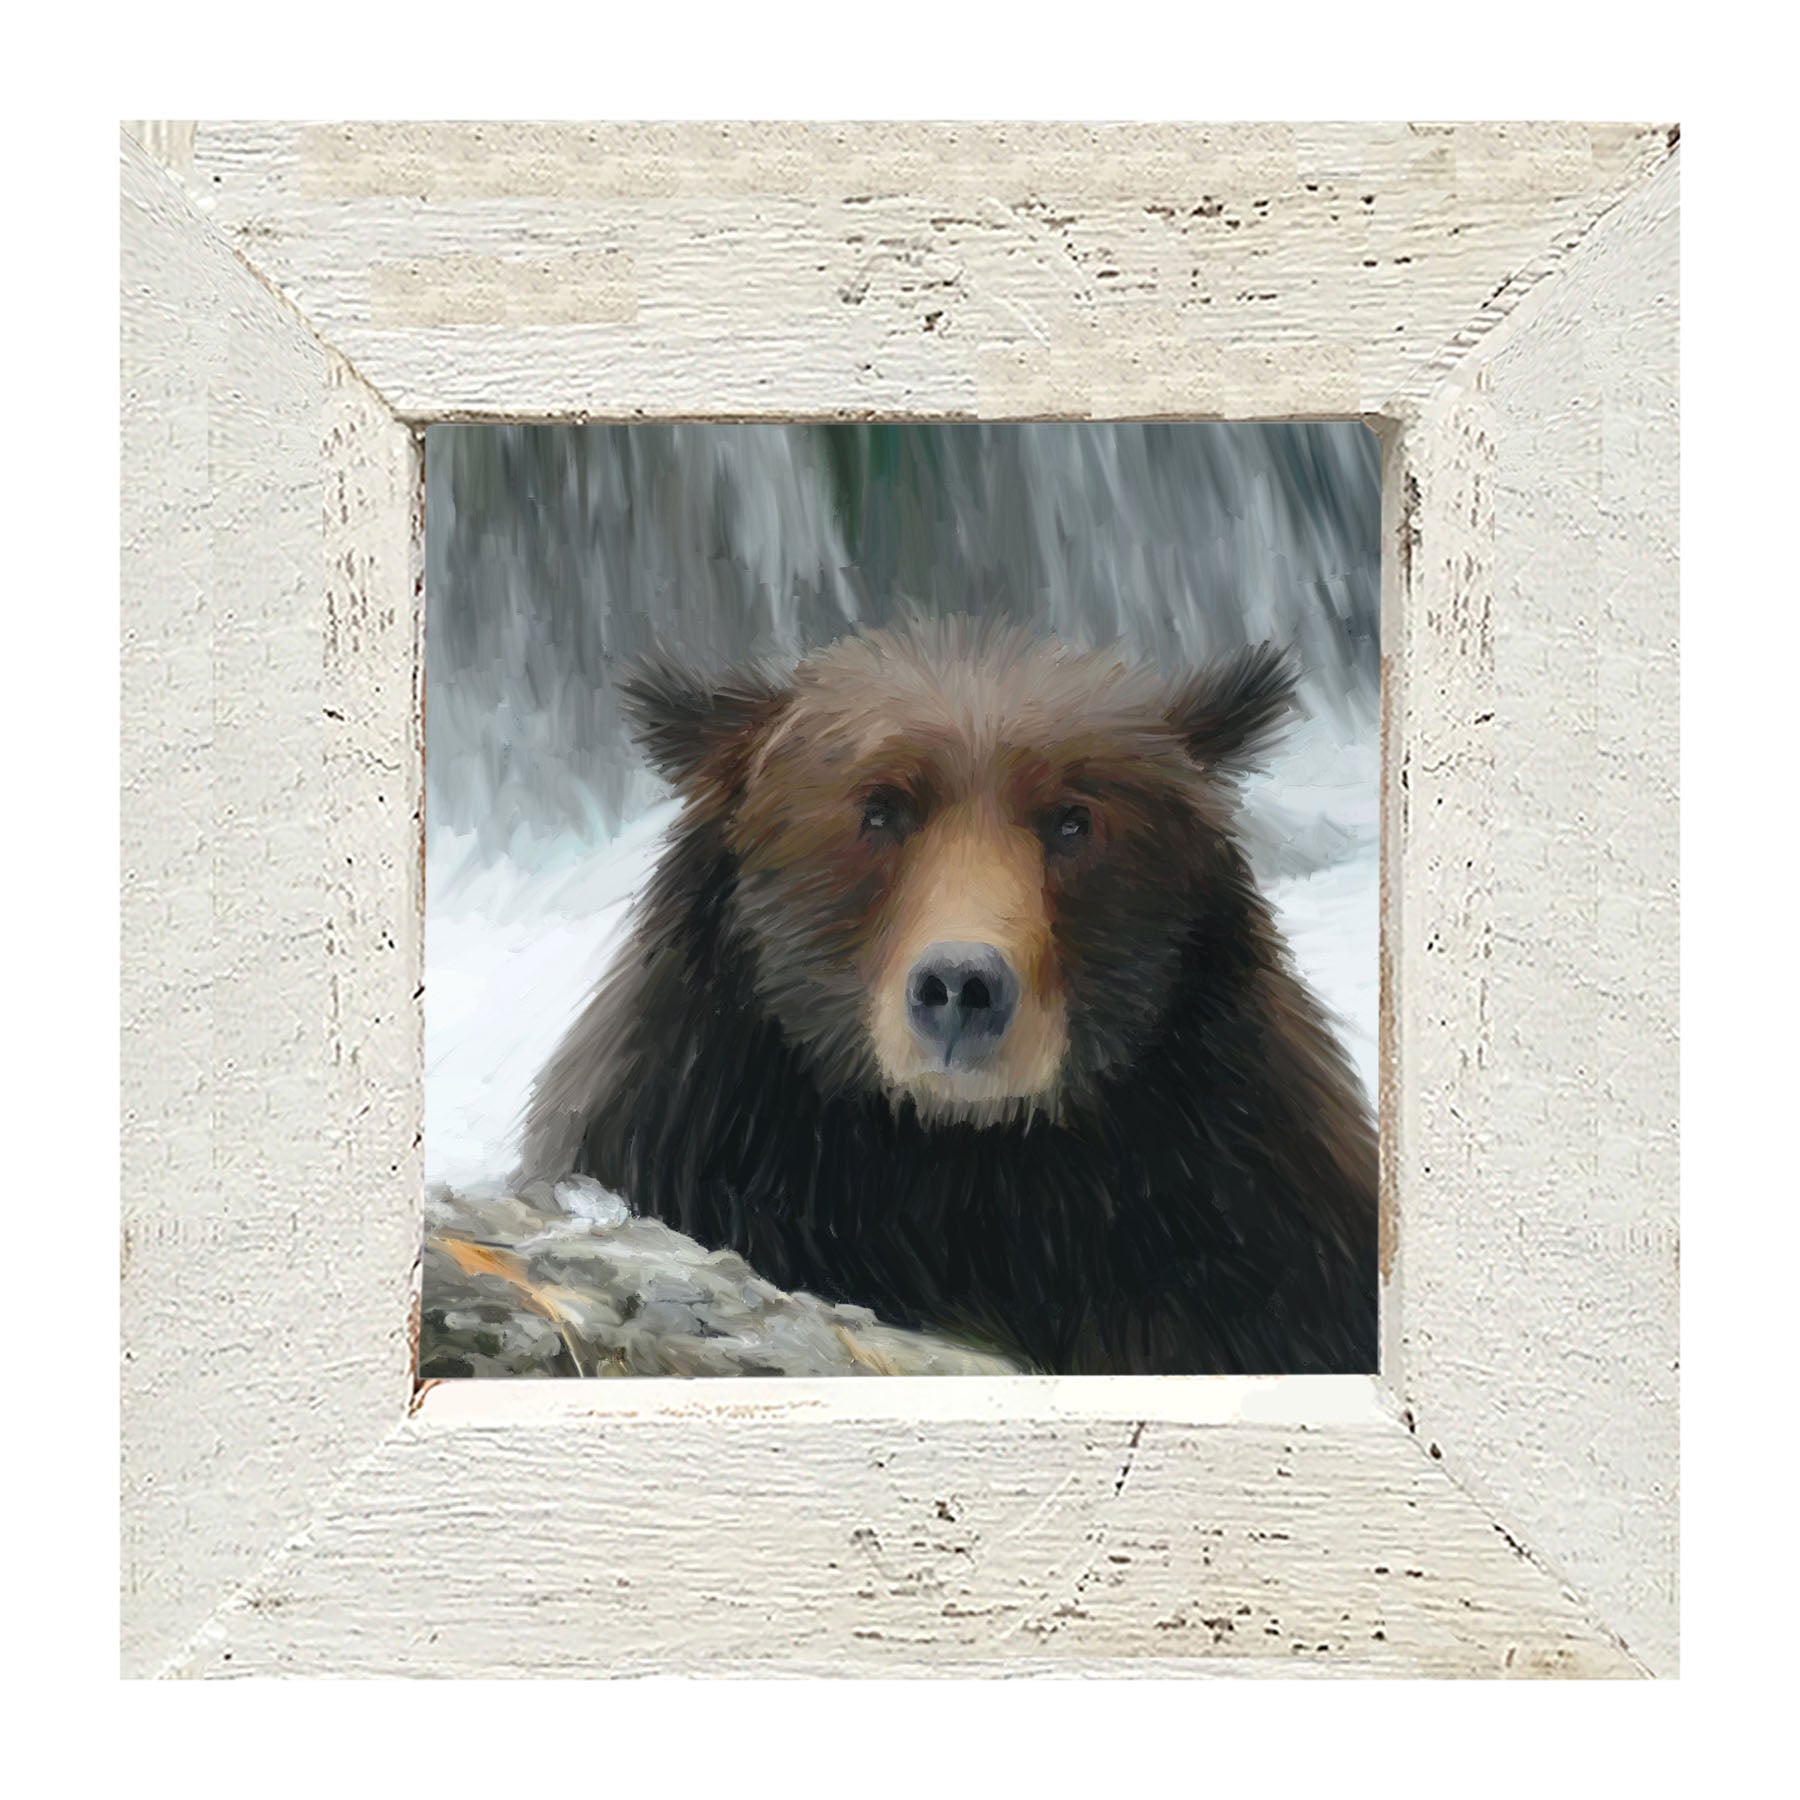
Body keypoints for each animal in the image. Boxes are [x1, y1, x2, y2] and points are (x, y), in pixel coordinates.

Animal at [521, 616, 1378, 1375]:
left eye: (1073, 820)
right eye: (880, 809)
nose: (962, 986)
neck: (959, 1164)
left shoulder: (1243, 1225)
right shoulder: (692, 1138)